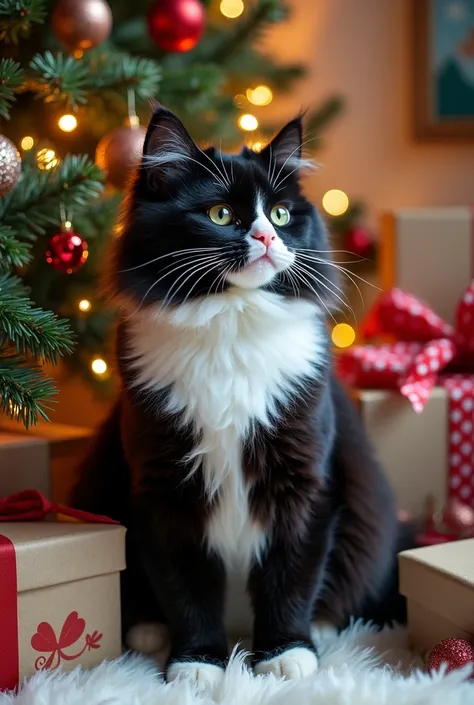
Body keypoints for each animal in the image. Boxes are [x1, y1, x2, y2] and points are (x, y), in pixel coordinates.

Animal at [72, 106, 406, 688]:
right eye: (221, 213)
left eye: (280, 213)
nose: (267, 237)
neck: (231, 322)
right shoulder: (162, 489)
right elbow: (186, 588)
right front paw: (197, 663)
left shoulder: (305, 481)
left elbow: (291, 577)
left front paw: (285, 654)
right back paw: (149, 632)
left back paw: (319, 630)